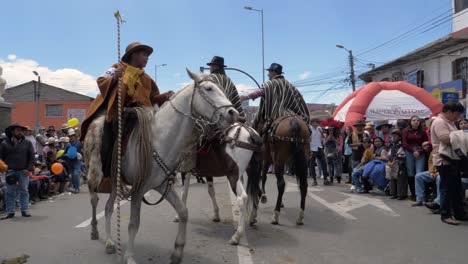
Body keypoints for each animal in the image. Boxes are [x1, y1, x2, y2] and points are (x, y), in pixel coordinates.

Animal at [83, 69, 238, 262]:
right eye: (209, 88)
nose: (233, 113)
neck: (160, 140)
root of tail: (96, 122)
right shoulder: (139, 188)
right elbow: (134, 224)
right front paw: (130, 257)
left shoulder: (162, 185)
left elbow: (183, 211)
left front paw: (177, 252)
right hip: (95, 173)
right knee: (95, 199)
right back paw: (95, 231)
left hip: (115, 181)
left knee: (108, 207)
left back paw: (110, 242)